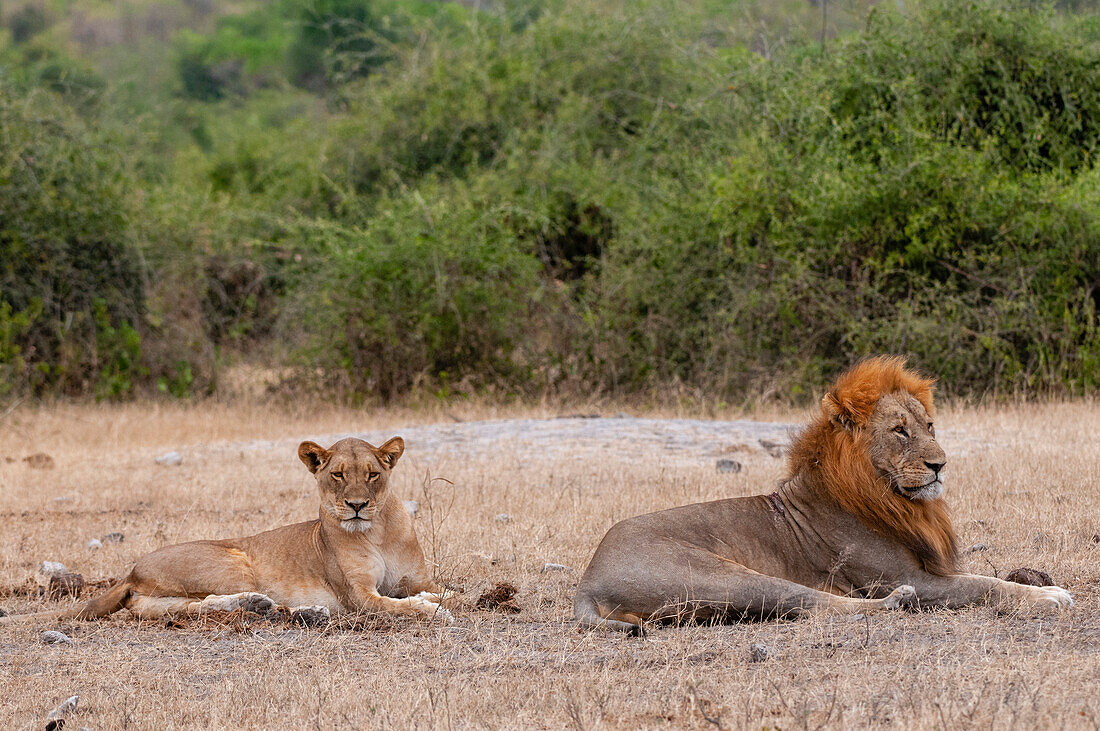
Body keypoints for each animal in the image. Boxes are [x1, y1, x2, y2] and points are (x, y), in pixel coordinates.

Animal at [2, 435, 451, 624]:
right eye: (338, 475)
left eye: (373, 474)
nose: (357, 505)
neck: (377, 531)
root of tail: (130, 571)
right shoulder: (358, 597)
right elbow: (399, 605)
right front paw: (430, 609)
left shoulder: (417, 577)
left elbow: (443, 590)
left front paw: (434, 598)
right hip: (235, 561)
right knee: (207, 601)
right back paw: (271, 607)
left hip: (164, 598)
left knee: (174, 608)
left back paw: (268, 607)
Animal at [576, 356, 1073, 628]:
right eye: (900, 431)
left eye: (929, 426)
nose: (940, 464)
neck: (893, 498)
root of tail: (588, 578)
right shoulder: (909, 576)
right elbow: (980, 585)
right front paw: (1048, 597)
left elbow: (993, 574)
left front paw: (1040, 581)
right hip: (723, 577)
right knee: (822, 604)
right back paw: (894, 603)